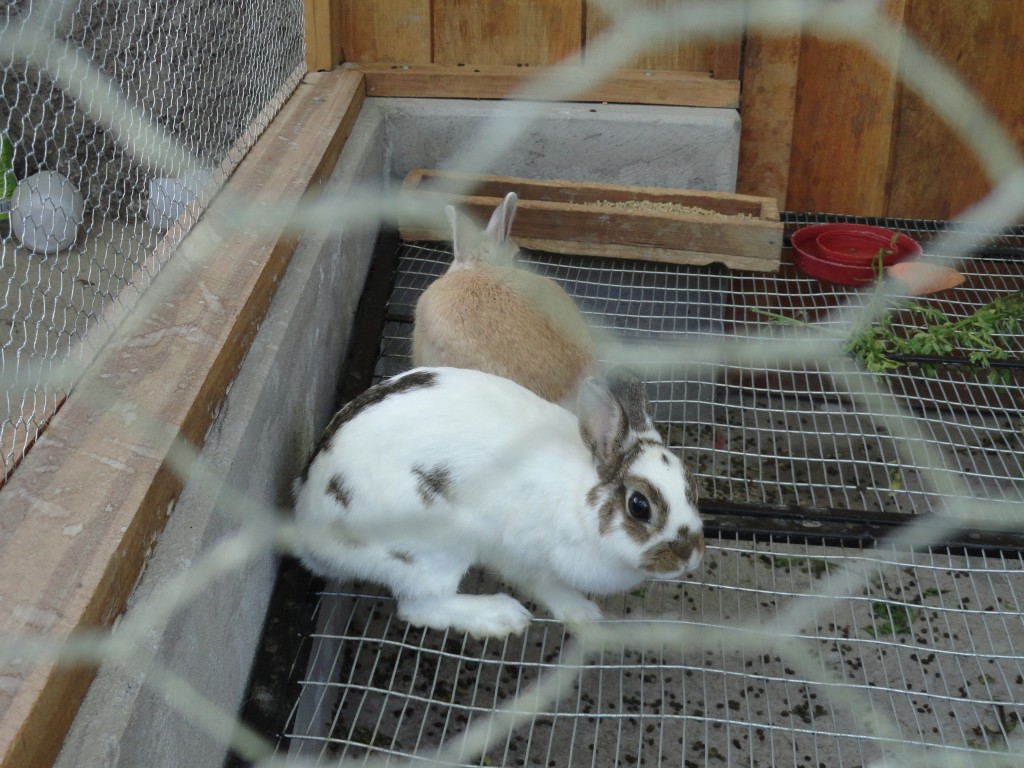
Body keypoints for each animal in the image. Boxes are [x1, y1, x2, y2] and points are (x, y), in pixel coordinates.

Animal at [293, 365, 704, 639]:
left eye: (691, 488)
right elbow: (547, 586)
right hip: (433, 547)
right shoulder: (523, 555)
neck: (579, 498)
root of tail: (307, 530)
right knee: (420, 607)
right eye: (639, 506)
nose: (690, 558)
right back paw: (500, 616)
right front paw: (584, 613)